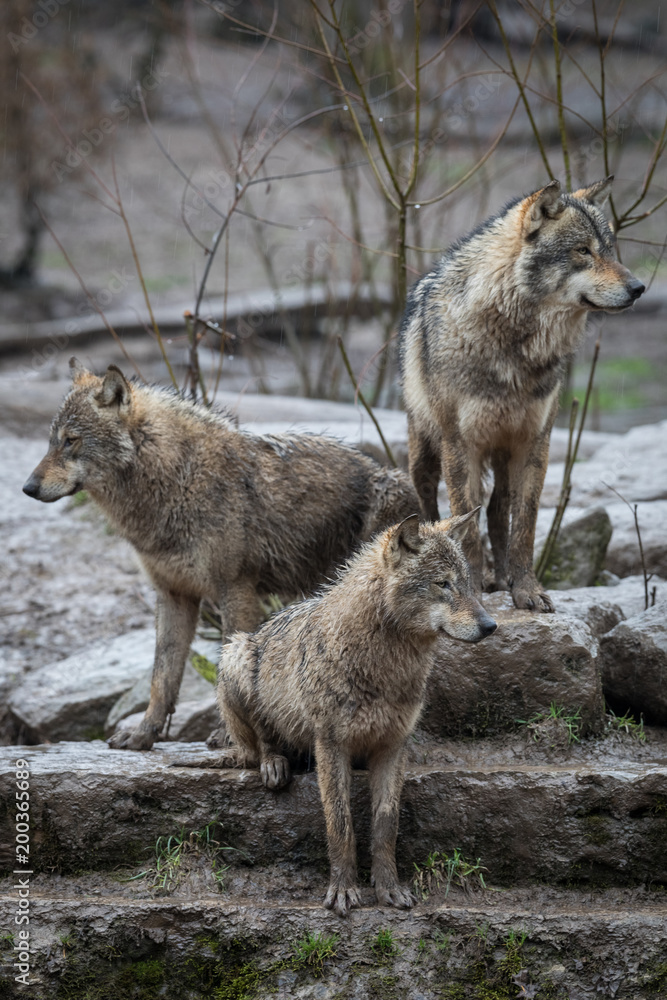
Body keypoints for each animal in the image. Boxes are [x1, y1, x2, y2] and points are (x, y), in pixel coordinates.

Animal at [23, 359, 420, 750]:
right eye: (50, 442)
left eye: (70, 441)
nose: (28, 487)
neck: (174, 483)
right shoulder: (173, 594)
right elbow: (162, 678)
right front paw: (143, 734)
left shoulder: (236, 590)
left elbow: (227, 666)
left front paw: (227, 737)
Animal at [216, 513, 497, 917]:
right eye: (442, 584)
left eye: (468, 585)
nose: (492, 626)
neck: (384, 668)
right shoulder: (331, 745)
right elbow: (340, 823)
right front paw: (343, 891)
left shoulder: (393, 748)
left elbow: (385, 826)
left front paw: (388, 889)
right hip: (235, 653)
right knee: (258, 742)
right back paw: (274, 763)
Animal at [400, 176, 645, 612]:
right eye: (583, 251)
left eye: (610, 250)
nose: (639, 288)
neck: (515, 346)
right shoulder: (461, 446)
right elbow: (466, 527)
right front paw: (472, 589)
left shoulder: (535, 442)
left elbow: (525, 526)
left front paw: (525, 589)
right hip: (425, 454)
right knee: (433, 507)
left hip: (503, 454)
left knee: (499, 510)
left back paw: (501, 578)